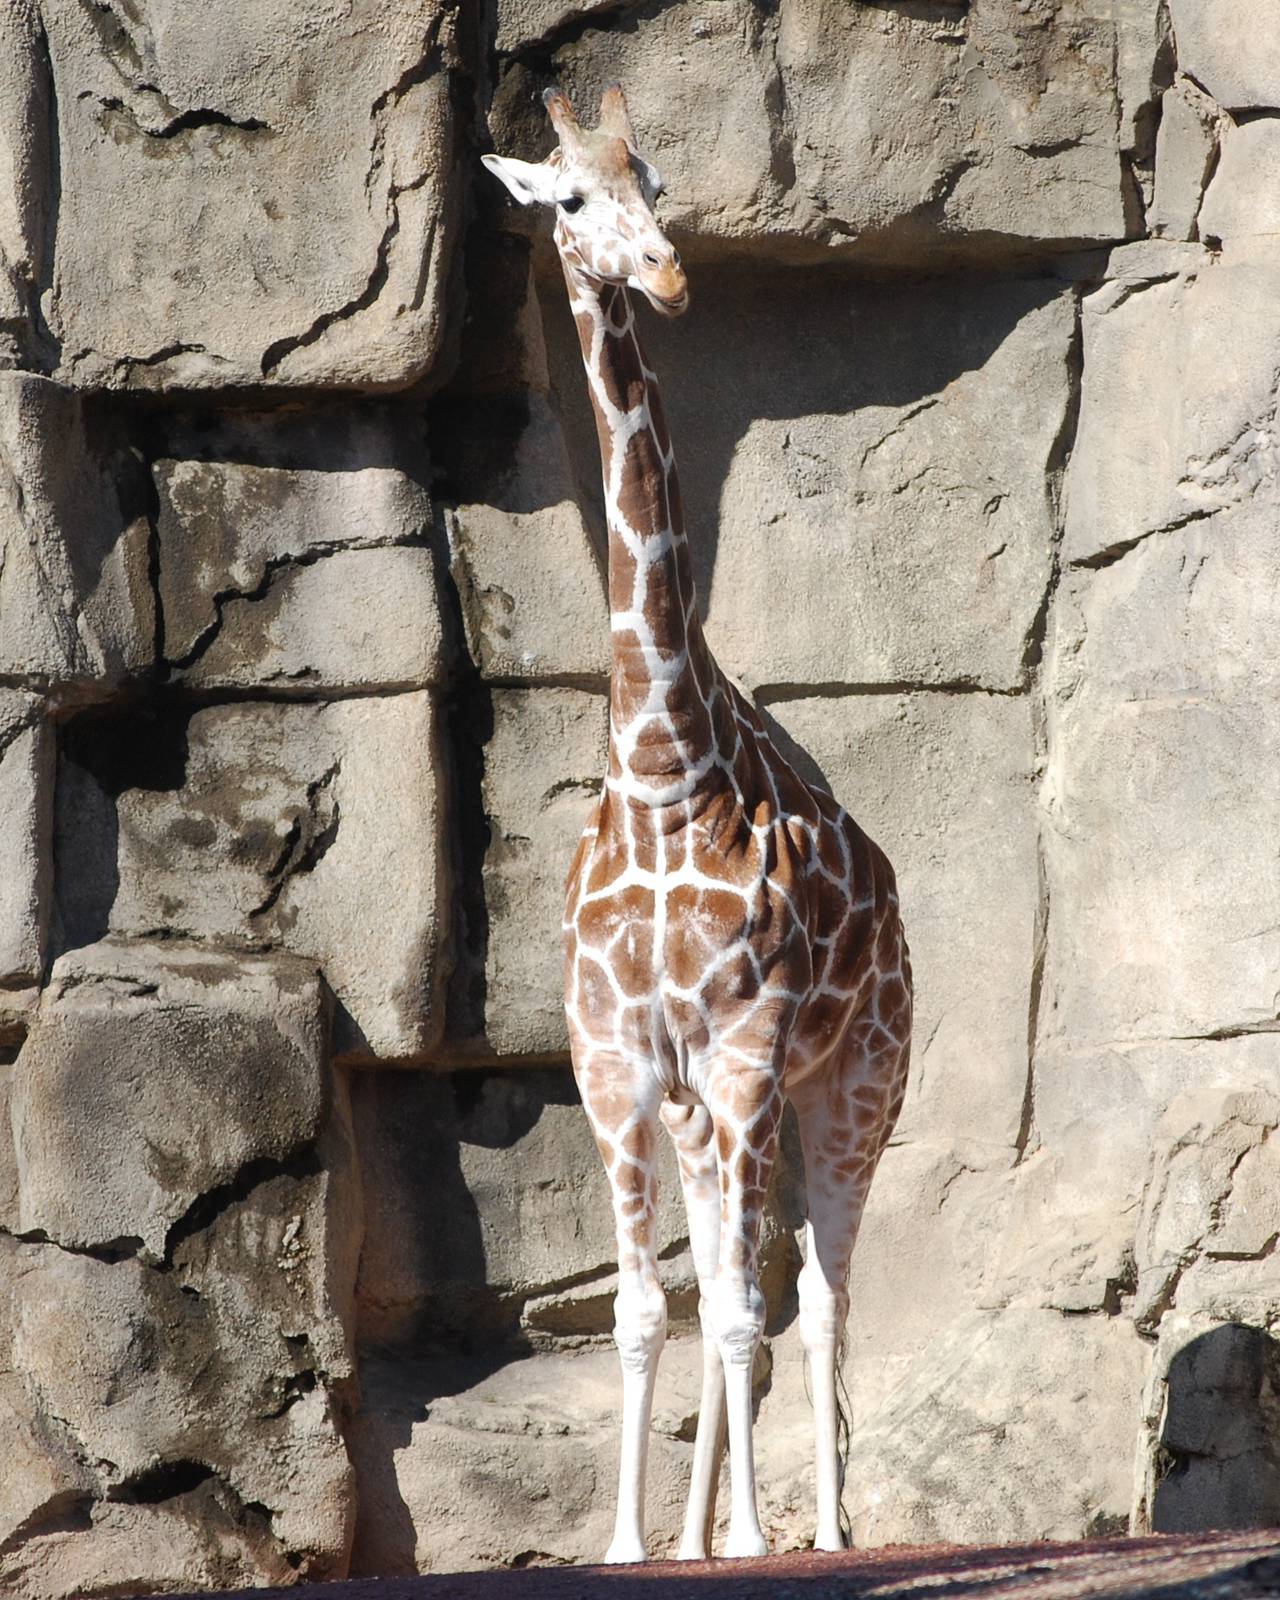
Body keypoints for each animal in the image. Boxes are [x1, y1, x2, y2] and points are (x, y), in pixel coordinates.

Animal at [483, 86, 912, 1564]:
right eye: (566, 200)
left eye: (656, 179)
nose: (666, 275)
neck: (665, 760)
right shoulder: (615, 1058)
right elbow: (640, 1308)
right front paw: (629, 1546)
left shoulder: (744, 1047)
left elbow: (737, 1309)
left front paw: (758, 1539)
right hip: (706, 1109)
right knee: (734, 1282)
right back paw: (705, 1531)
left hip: (851, 1083)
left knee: (819, 1295)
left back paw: (817, 1530)